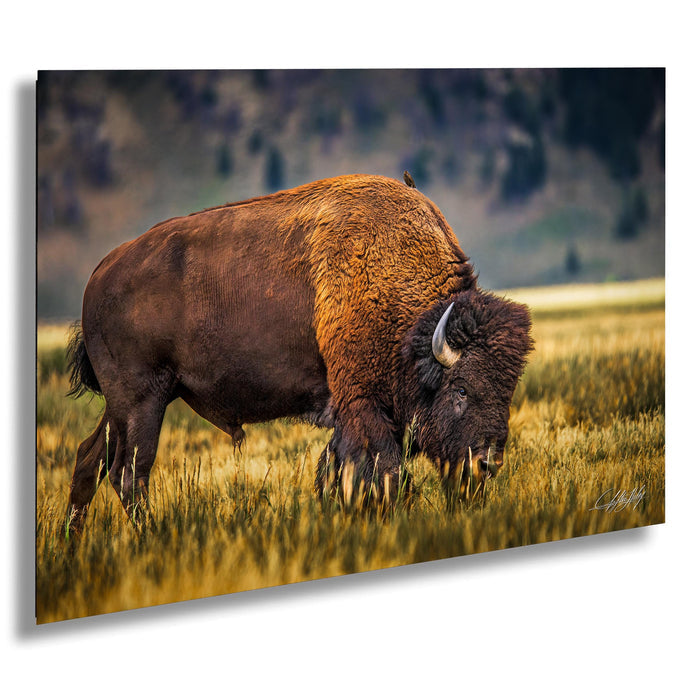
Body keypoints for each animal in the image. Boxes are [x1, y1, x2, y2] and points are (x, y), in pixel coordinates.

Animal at [66, 174, 533, 531]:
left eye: (507, 391)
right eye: (461, 390)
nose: (487, 464)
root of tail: (98, 275)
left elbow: (337, 472)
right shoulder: (364, 406)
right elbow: (382, 473)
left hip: (125, 406)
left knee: (90, 460)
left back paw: (73, 543)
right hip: (142, 401)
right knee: (130, 473)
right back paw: (153, 536)